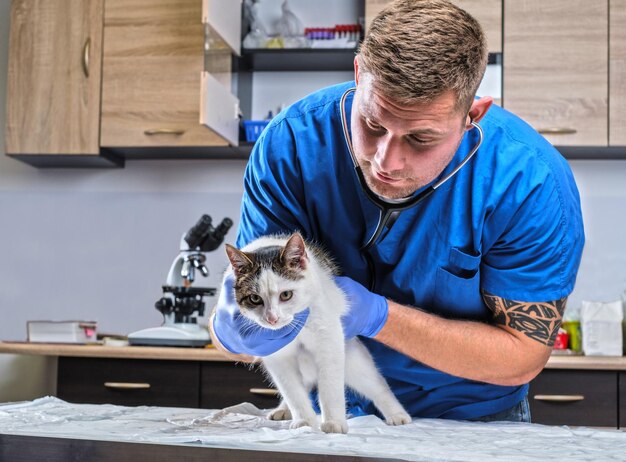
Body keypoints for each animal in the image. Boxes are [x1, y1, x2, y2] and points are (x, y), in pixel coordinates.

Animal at [222, 233, 412, 434]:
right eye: (255, 298)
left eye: (286, 295)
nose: (272, 318)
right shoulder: (276, 355)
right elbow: (292, 390)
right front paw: (304, 421)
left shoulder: (328, 337)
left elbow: (329, 385)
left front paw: (334, 422)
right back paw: (283, 409)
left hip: (353, 359)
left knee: (376, 384)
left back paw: (397, 414)